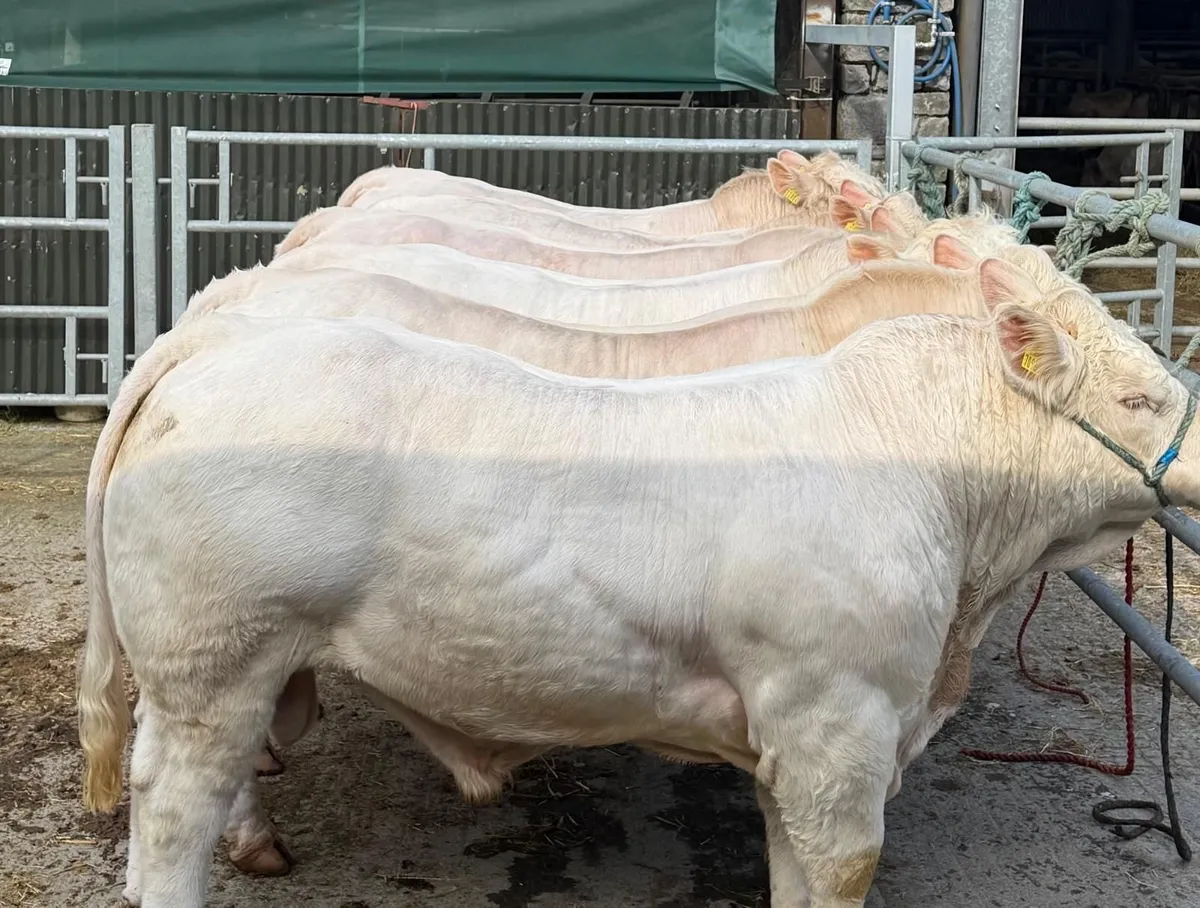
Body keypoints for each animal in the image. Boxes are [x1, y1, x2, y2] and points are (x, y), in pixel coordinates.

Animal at [79, 258, 1200, 907]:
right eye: (1139, 397)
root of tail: (202, 349)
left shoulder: (793, 734)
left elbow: (794, 867)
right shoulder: (838, 715)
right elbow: (843, 868)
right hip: (212, 654)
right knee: (170, 812)